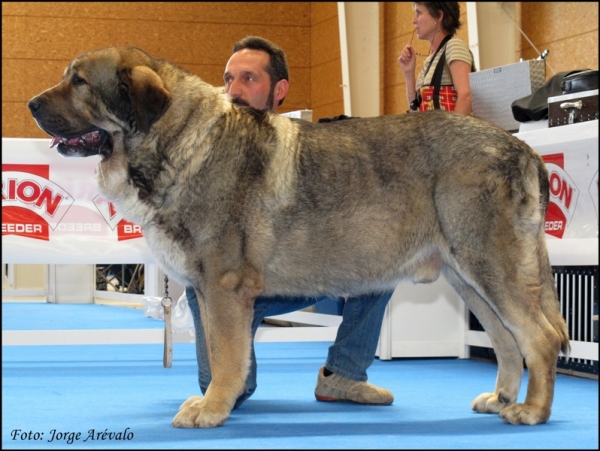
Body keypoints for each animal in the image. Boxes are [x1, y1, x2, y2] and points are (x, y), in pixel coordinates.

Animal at [29, 47, 572, 430]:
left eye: (79, 81)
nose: (31, 103)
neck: (175, 142)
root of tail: (523, 148)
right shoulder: (207, 292)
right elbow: (223, 354)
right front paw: (214, 402)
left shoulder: (224, 289)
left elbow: (225, 357)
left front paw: (212, 408)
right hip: (468, 277)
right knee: (507, 342)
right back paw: (501, 398)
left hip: (490, 265)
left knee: (540, 338)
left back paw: (532, 412)